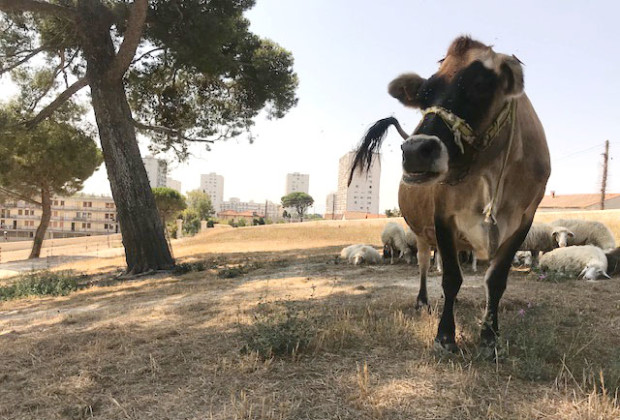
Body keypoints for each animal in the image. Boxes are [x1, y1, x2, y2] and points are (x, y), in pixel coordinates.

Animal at [352, 36, 548, 352]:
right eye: (423, 96)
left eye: (481, 86)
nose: (416, 151)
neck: (490, 174)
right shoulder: (443, 216)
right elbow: (451, 278)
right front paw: (445, 336)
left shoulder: (524, 220)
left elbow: (496, 280)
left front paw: (489, 335)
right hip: (420, 233)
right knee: (424, 263)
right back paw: (423, 301)